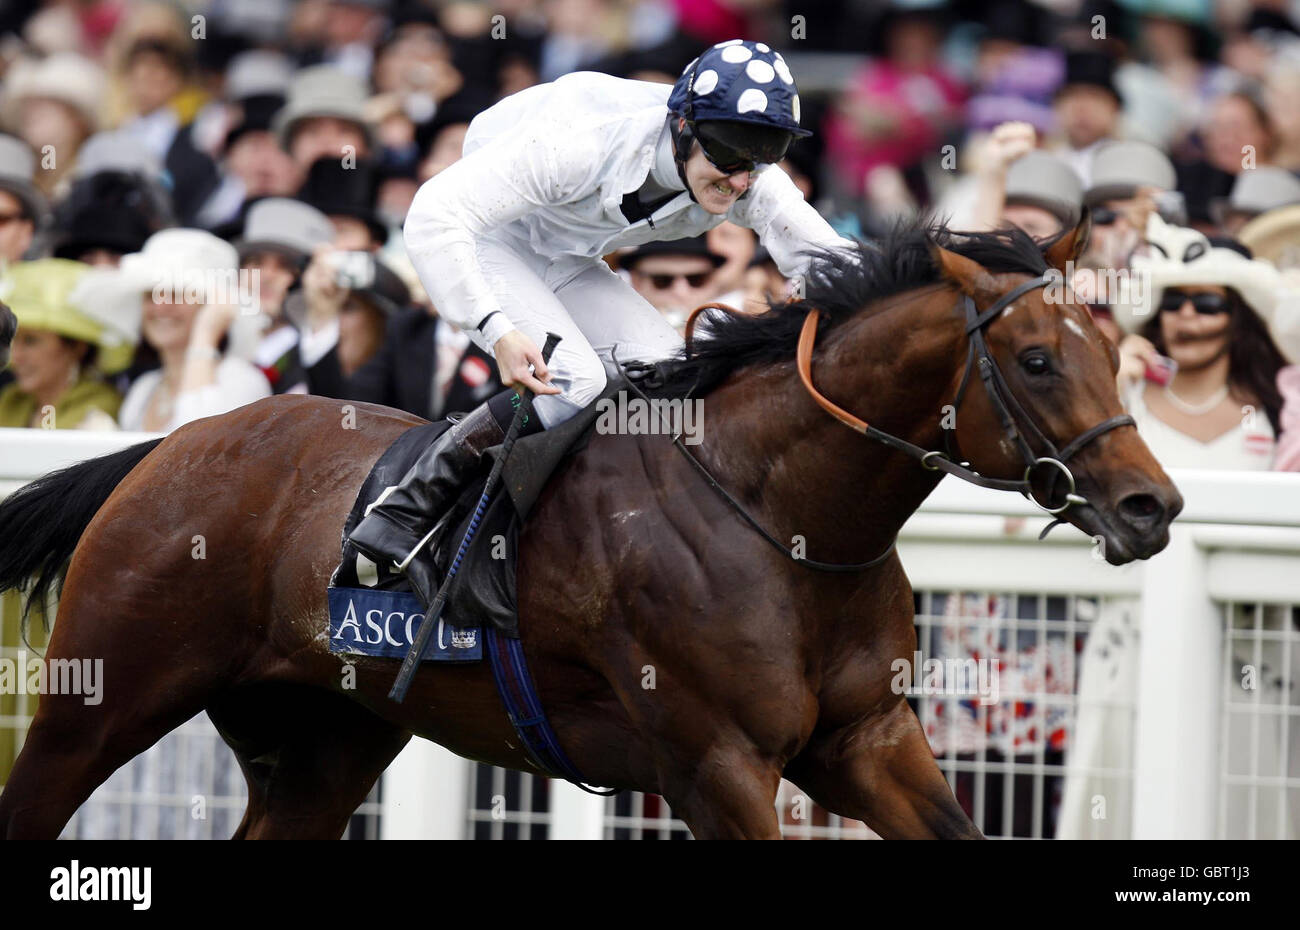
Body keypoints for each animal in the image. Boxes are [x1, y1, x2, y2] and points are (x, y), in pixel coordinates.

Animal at [0, 222, 1180, 842]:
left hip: (322, 742)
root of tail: (170, 444)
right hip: (104, 698)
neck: (784, 520)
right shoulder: (717, 763)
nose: (1151, 506)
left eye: (1115, 350)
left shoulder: (867, 740)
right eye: (1038, 359)